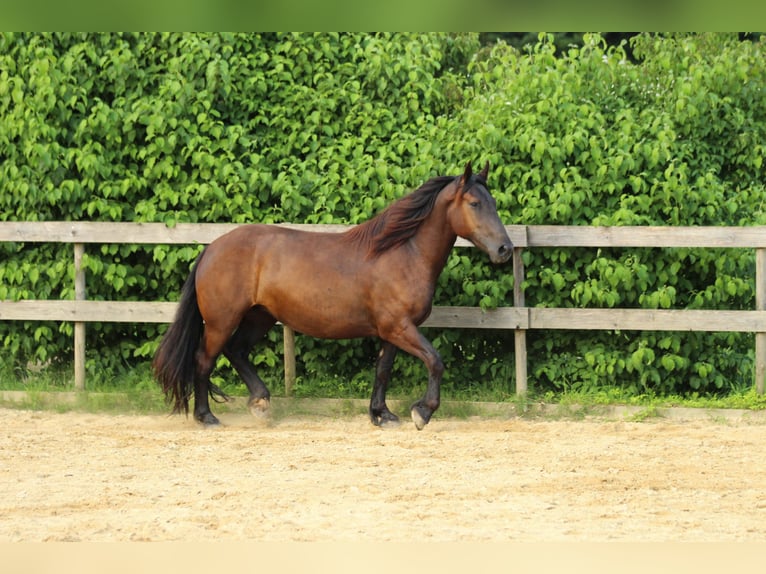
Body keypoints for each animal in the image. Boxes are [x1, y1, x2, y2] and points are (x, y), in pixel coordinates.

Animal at [153, 161, 512, 428]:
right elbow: (435, 361)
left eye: (494, 203)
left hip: (259, 317)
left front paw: (382, 414)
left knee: (237, 351)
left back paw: (260, 403)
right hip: (221, 321)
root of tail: (211, 248)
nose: (504, 249)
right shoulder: (399, 327)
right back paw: (206, 417)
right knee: (204, 359)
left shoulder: (391, 331)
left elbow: (383, 370)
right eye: (475, 204)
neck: (403, 253)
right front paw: (421, 412)